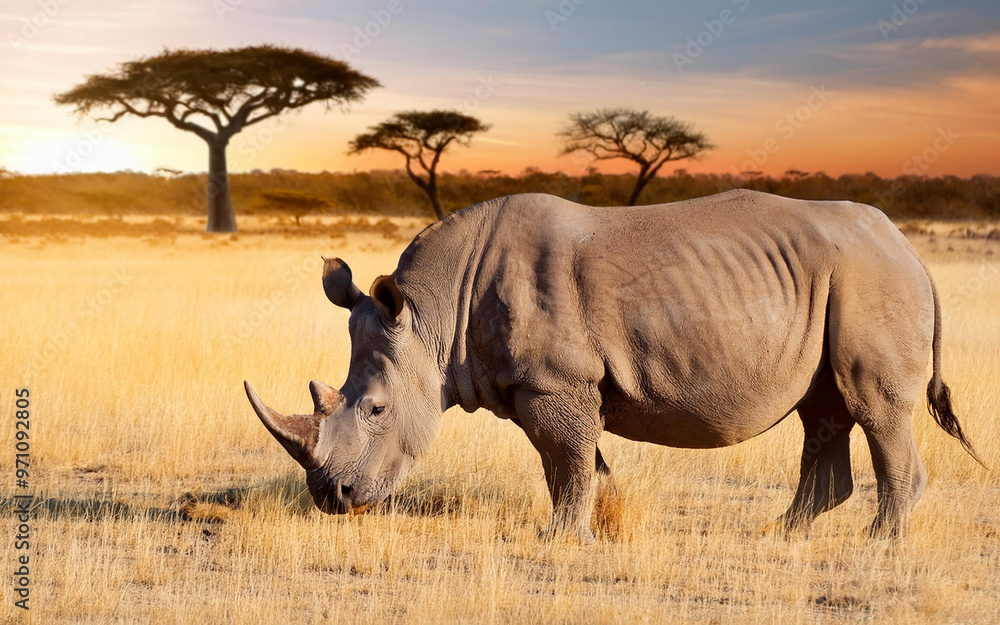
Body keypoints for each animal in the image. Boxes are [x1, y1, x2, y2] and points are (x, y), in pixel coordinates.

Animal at [245, 190, 982, 542]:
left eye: (375, 409)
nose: (331, 498)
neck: (432, 317)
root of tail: (910, 249)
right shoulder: (541, 384)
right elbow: (573, 461)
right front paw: (598, 521)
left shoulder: (557, 380)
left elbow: (566, 459)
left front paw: (558, 537)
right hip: (839, 279)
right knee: (823, 409)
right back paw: (783, 534)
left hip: (871, 278)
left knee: (871, 406)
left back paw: (879, 542)